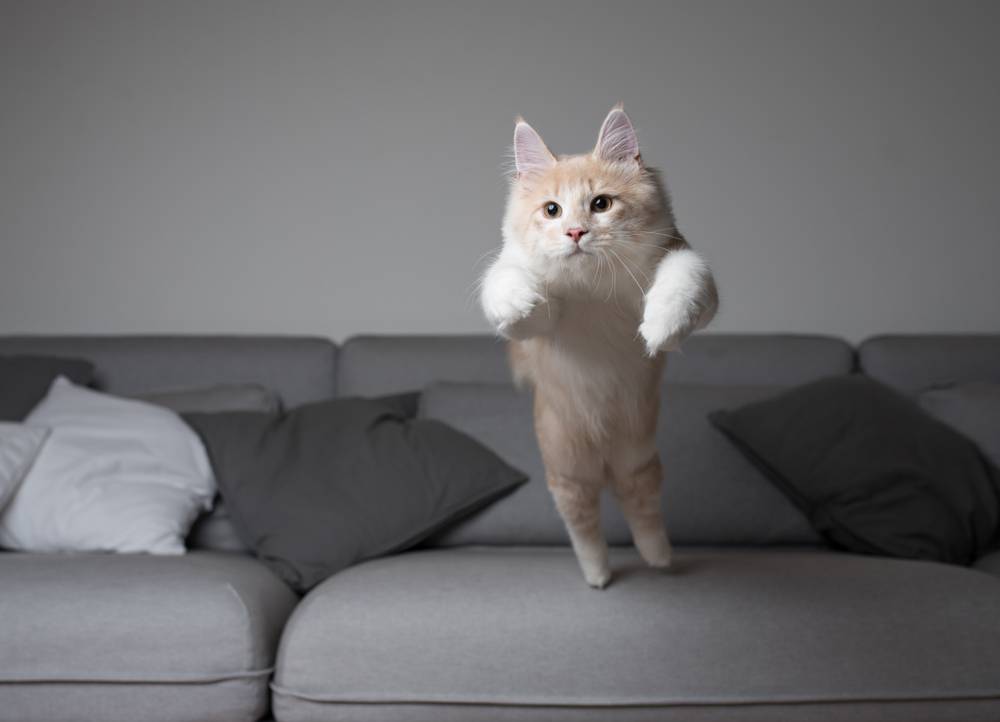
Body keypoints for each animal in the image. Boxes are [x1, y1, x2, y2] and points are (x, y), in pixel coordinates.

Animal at [480, 108, 716, 592]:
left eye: (601, 204)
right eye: (552, 210)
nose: (575, 232)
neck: (591, 288)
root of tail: (604, 458)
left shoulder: (681, 261)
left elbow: (682, 281)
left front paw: (660, 327)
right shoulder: (541, 321)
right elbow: (507, 281)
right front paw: (516, 301)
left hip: (638, 463)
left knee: (643, 514)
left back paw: (660, 559)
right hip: (570, 473)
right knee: (586, 530)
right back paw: (599, 577)